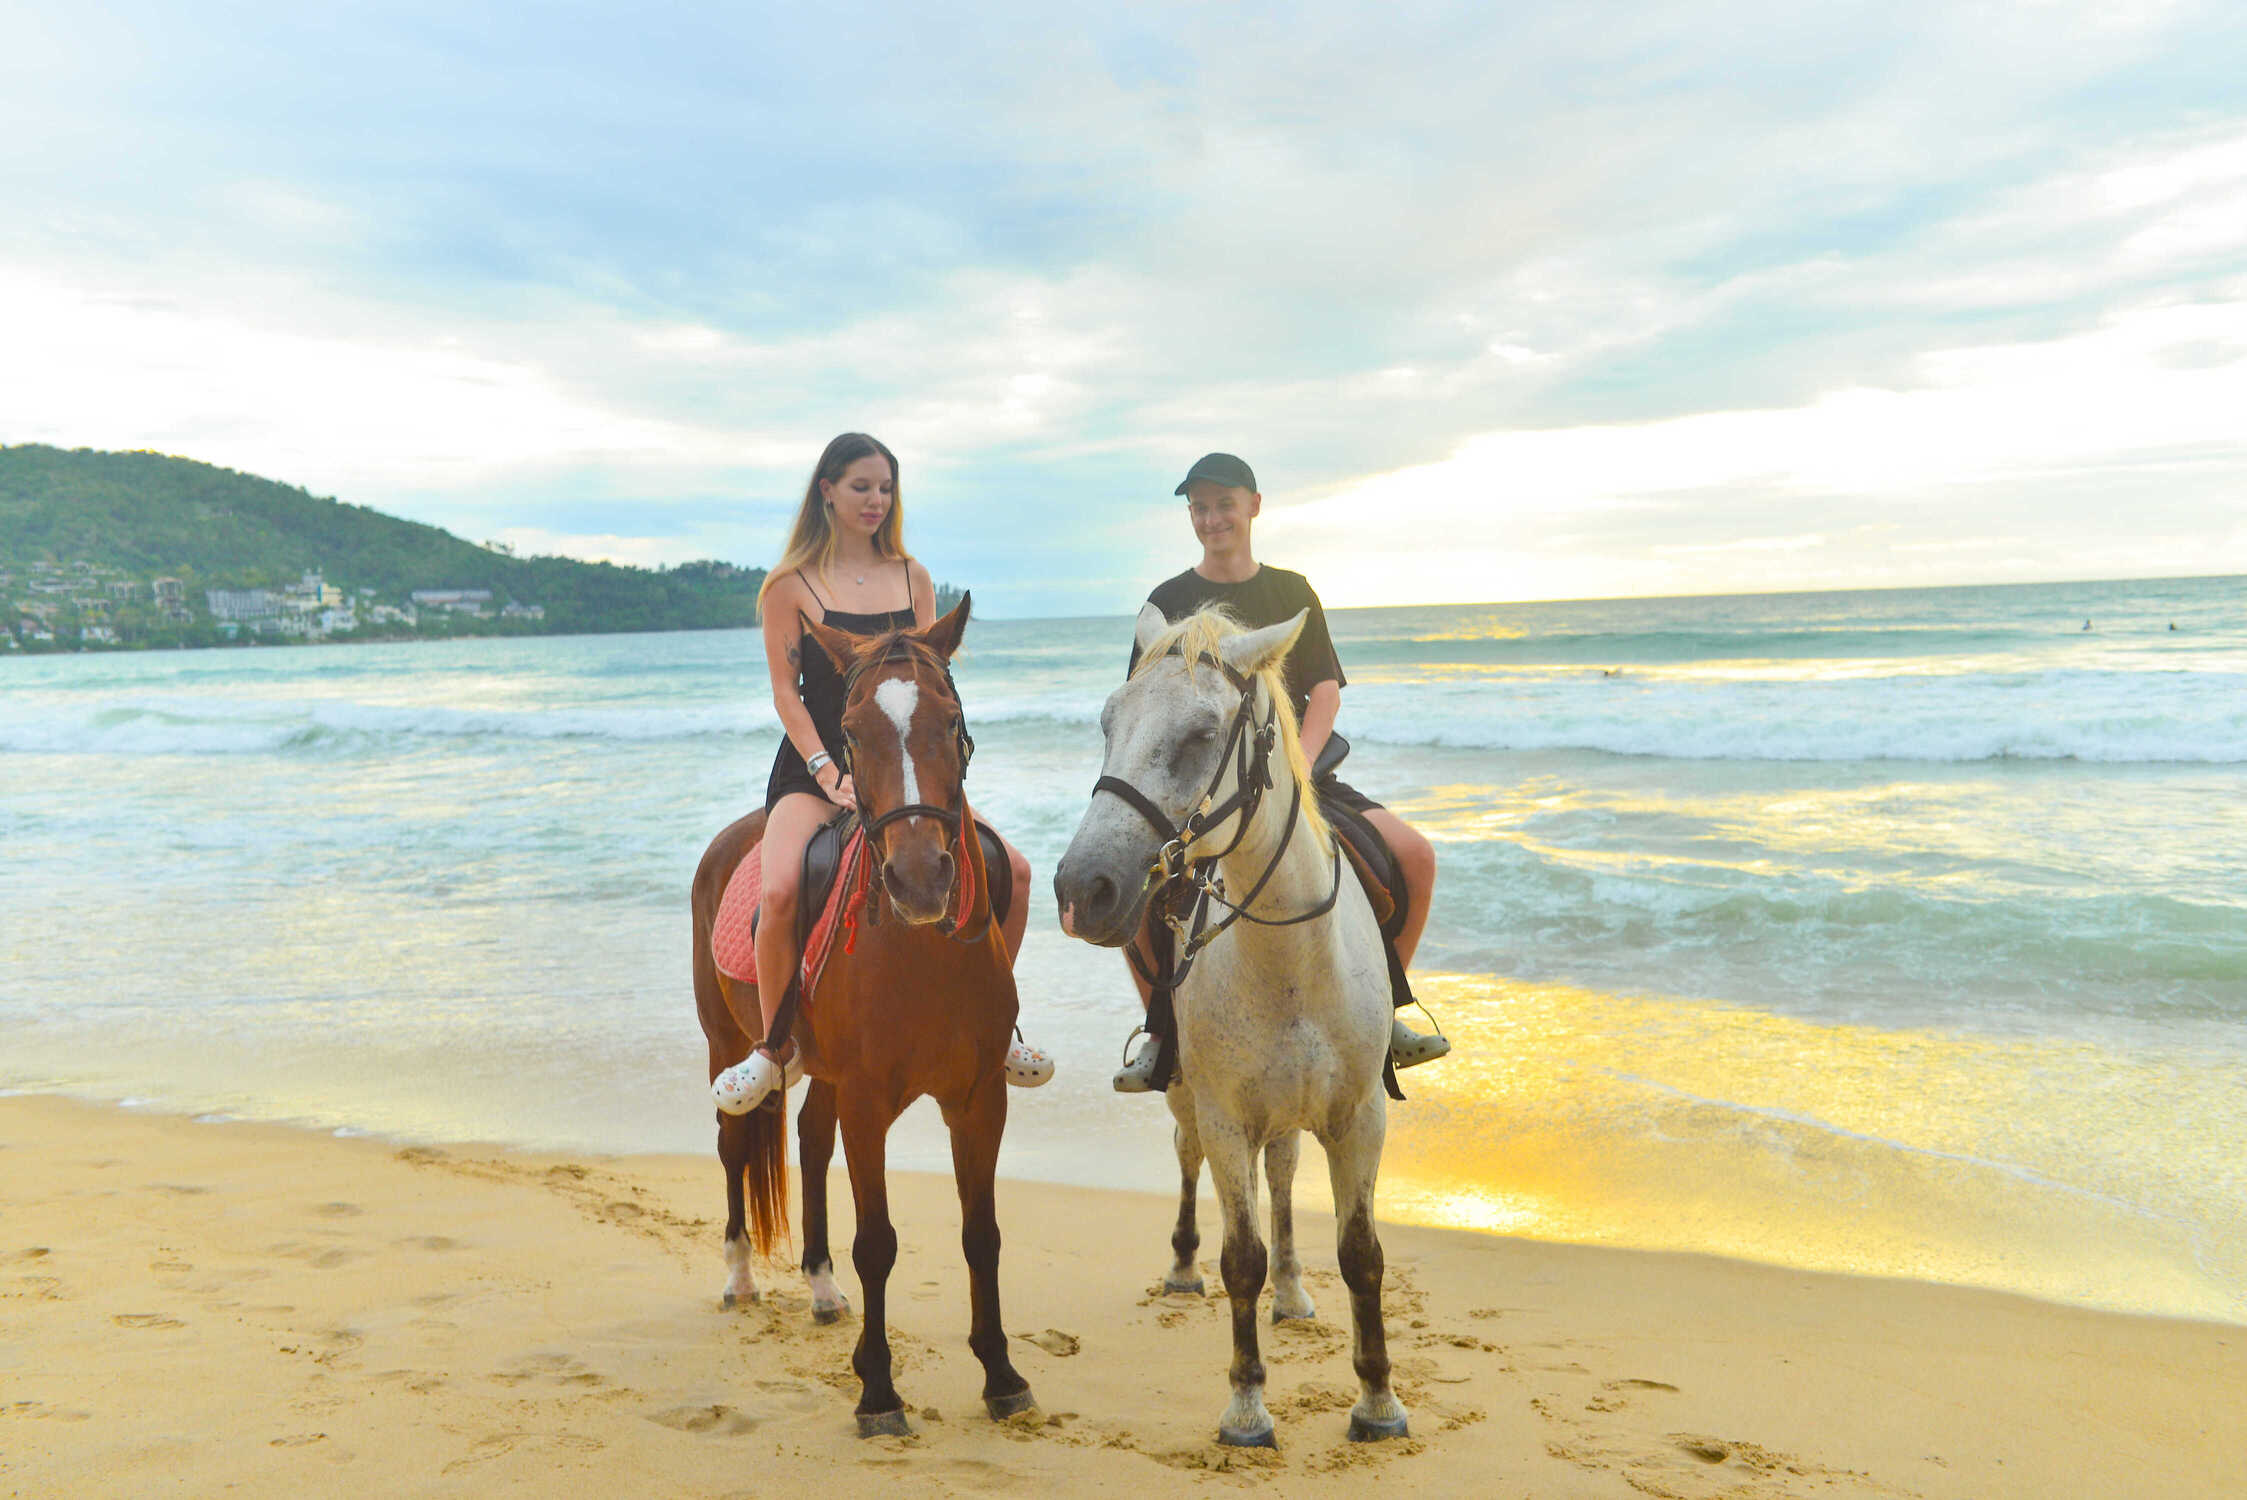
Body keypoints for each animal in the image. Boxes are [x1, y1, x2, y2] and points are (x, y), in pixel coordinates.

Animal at [683, 597, 1033, 1437]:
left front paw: (1001, 1374)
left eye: (950, 718)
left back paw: (819, 1285)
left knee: (809, 1142)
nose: (918, 878)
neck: (919, 952)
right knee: (734, 1144)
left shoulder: (978, 1098)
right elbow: (877, 1241)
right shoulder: (871, 1100)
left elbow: (981, 1234)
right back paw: (739, 1275)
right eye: (849, 731)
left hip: (831, 1074)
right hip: (725, 1038)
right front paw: (878, 1390)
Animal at [1056, 601, 1402, 1446]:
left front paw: (1378, 1400)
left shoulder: (1359, 1116)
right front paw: (1247, 1408)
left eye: (1200, 734)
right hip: (1193, 1101)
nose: (1082, 888)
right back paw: (1184, 1268)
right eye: (1108, 721)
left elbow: (1360, 1253)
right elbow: (1239, 1257)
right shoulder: (1222, 1117)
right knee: (1189, 1163)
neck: (1289, 958)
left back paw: (1294, 1291)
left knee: (1280, 1178)